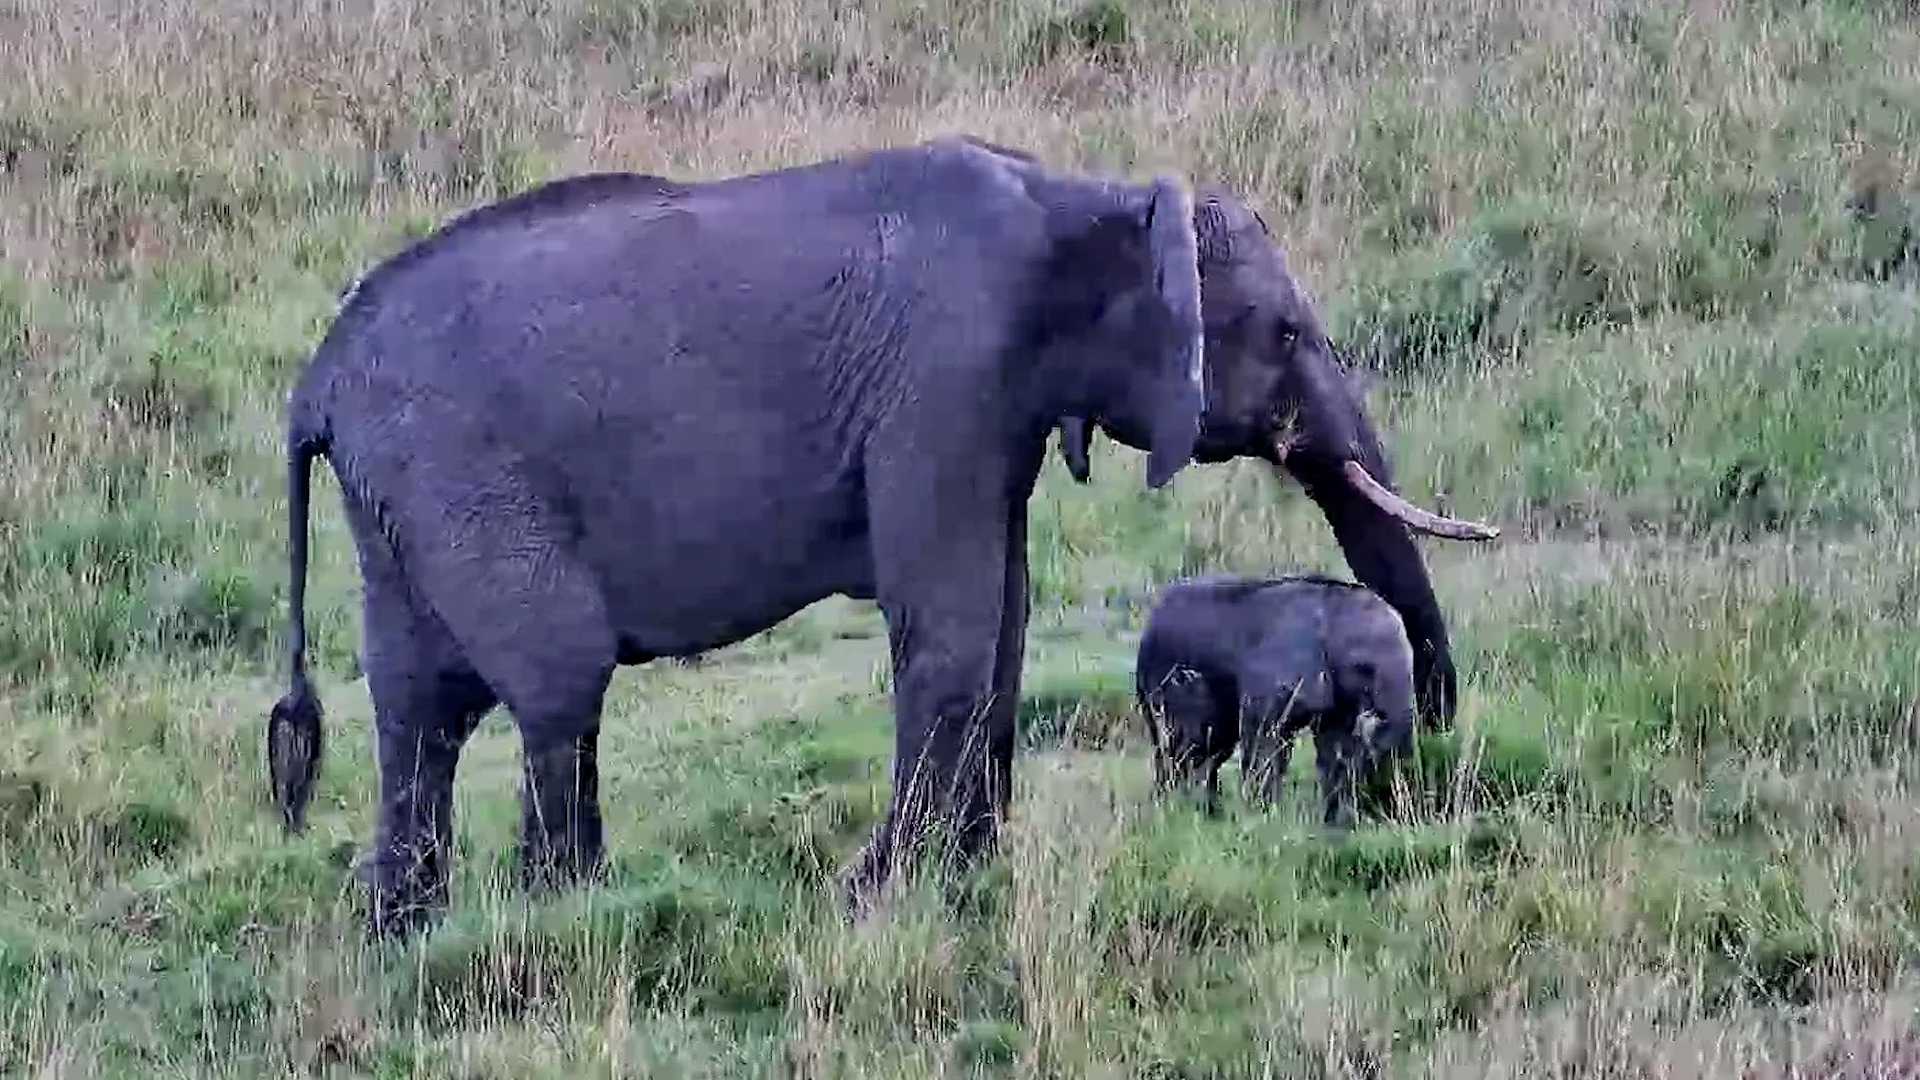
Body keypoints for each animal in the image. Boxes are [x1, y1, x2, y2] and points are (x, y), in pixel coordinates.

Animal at [1134, 573, 1417, 827]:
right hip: (1165, 682)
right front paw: (1265, 816)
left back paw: (1206, 813)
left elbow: (1335, 742)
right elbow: (1264, 739)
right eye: (1364, 667)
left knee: (1209, 750)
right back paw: (1171, 810)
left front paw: (1334, 822)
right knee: (1184, 746)